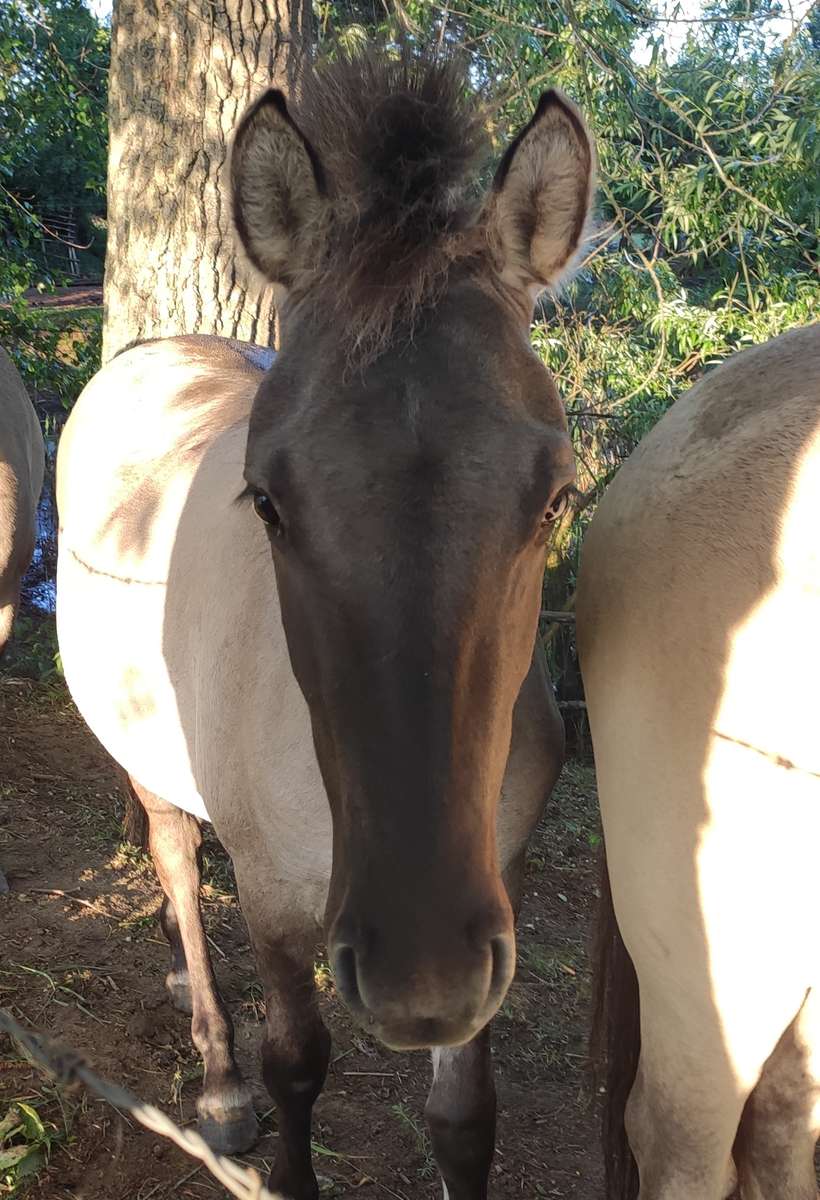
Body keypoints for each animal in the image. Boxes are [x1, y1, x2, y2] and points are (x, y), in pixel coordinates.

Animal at [57, 56, 595, 1200]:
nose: (417, 977)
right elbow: (298, 1064)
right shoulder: (273, 903)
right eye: (267, 502)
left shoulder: (491, 901)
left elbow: (464, 1119)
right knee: (176, 857)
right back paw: (216, 1078)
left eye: (555, 500)